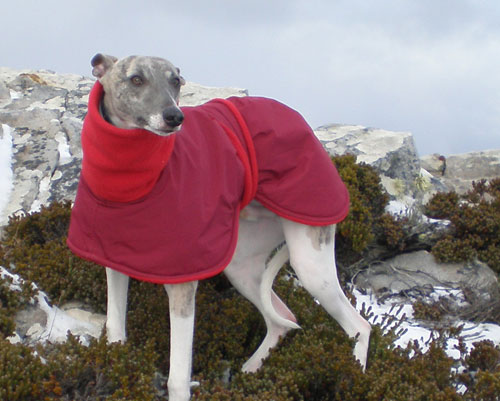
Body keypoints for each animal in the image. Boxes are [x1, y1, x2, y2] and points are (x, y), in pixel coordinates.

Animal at [67, 54, 372, 400]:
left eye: (176, 81)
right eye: (136, 79)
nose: (175, 117)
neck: (133, 181)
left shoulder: (183, 286)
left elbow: (177, 377)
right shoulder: (115, 263)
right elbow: (116, 331)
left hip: (310, 263)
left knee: (359, 326)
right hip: (241, 266)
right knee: (283, 320)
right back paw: (249, 372)